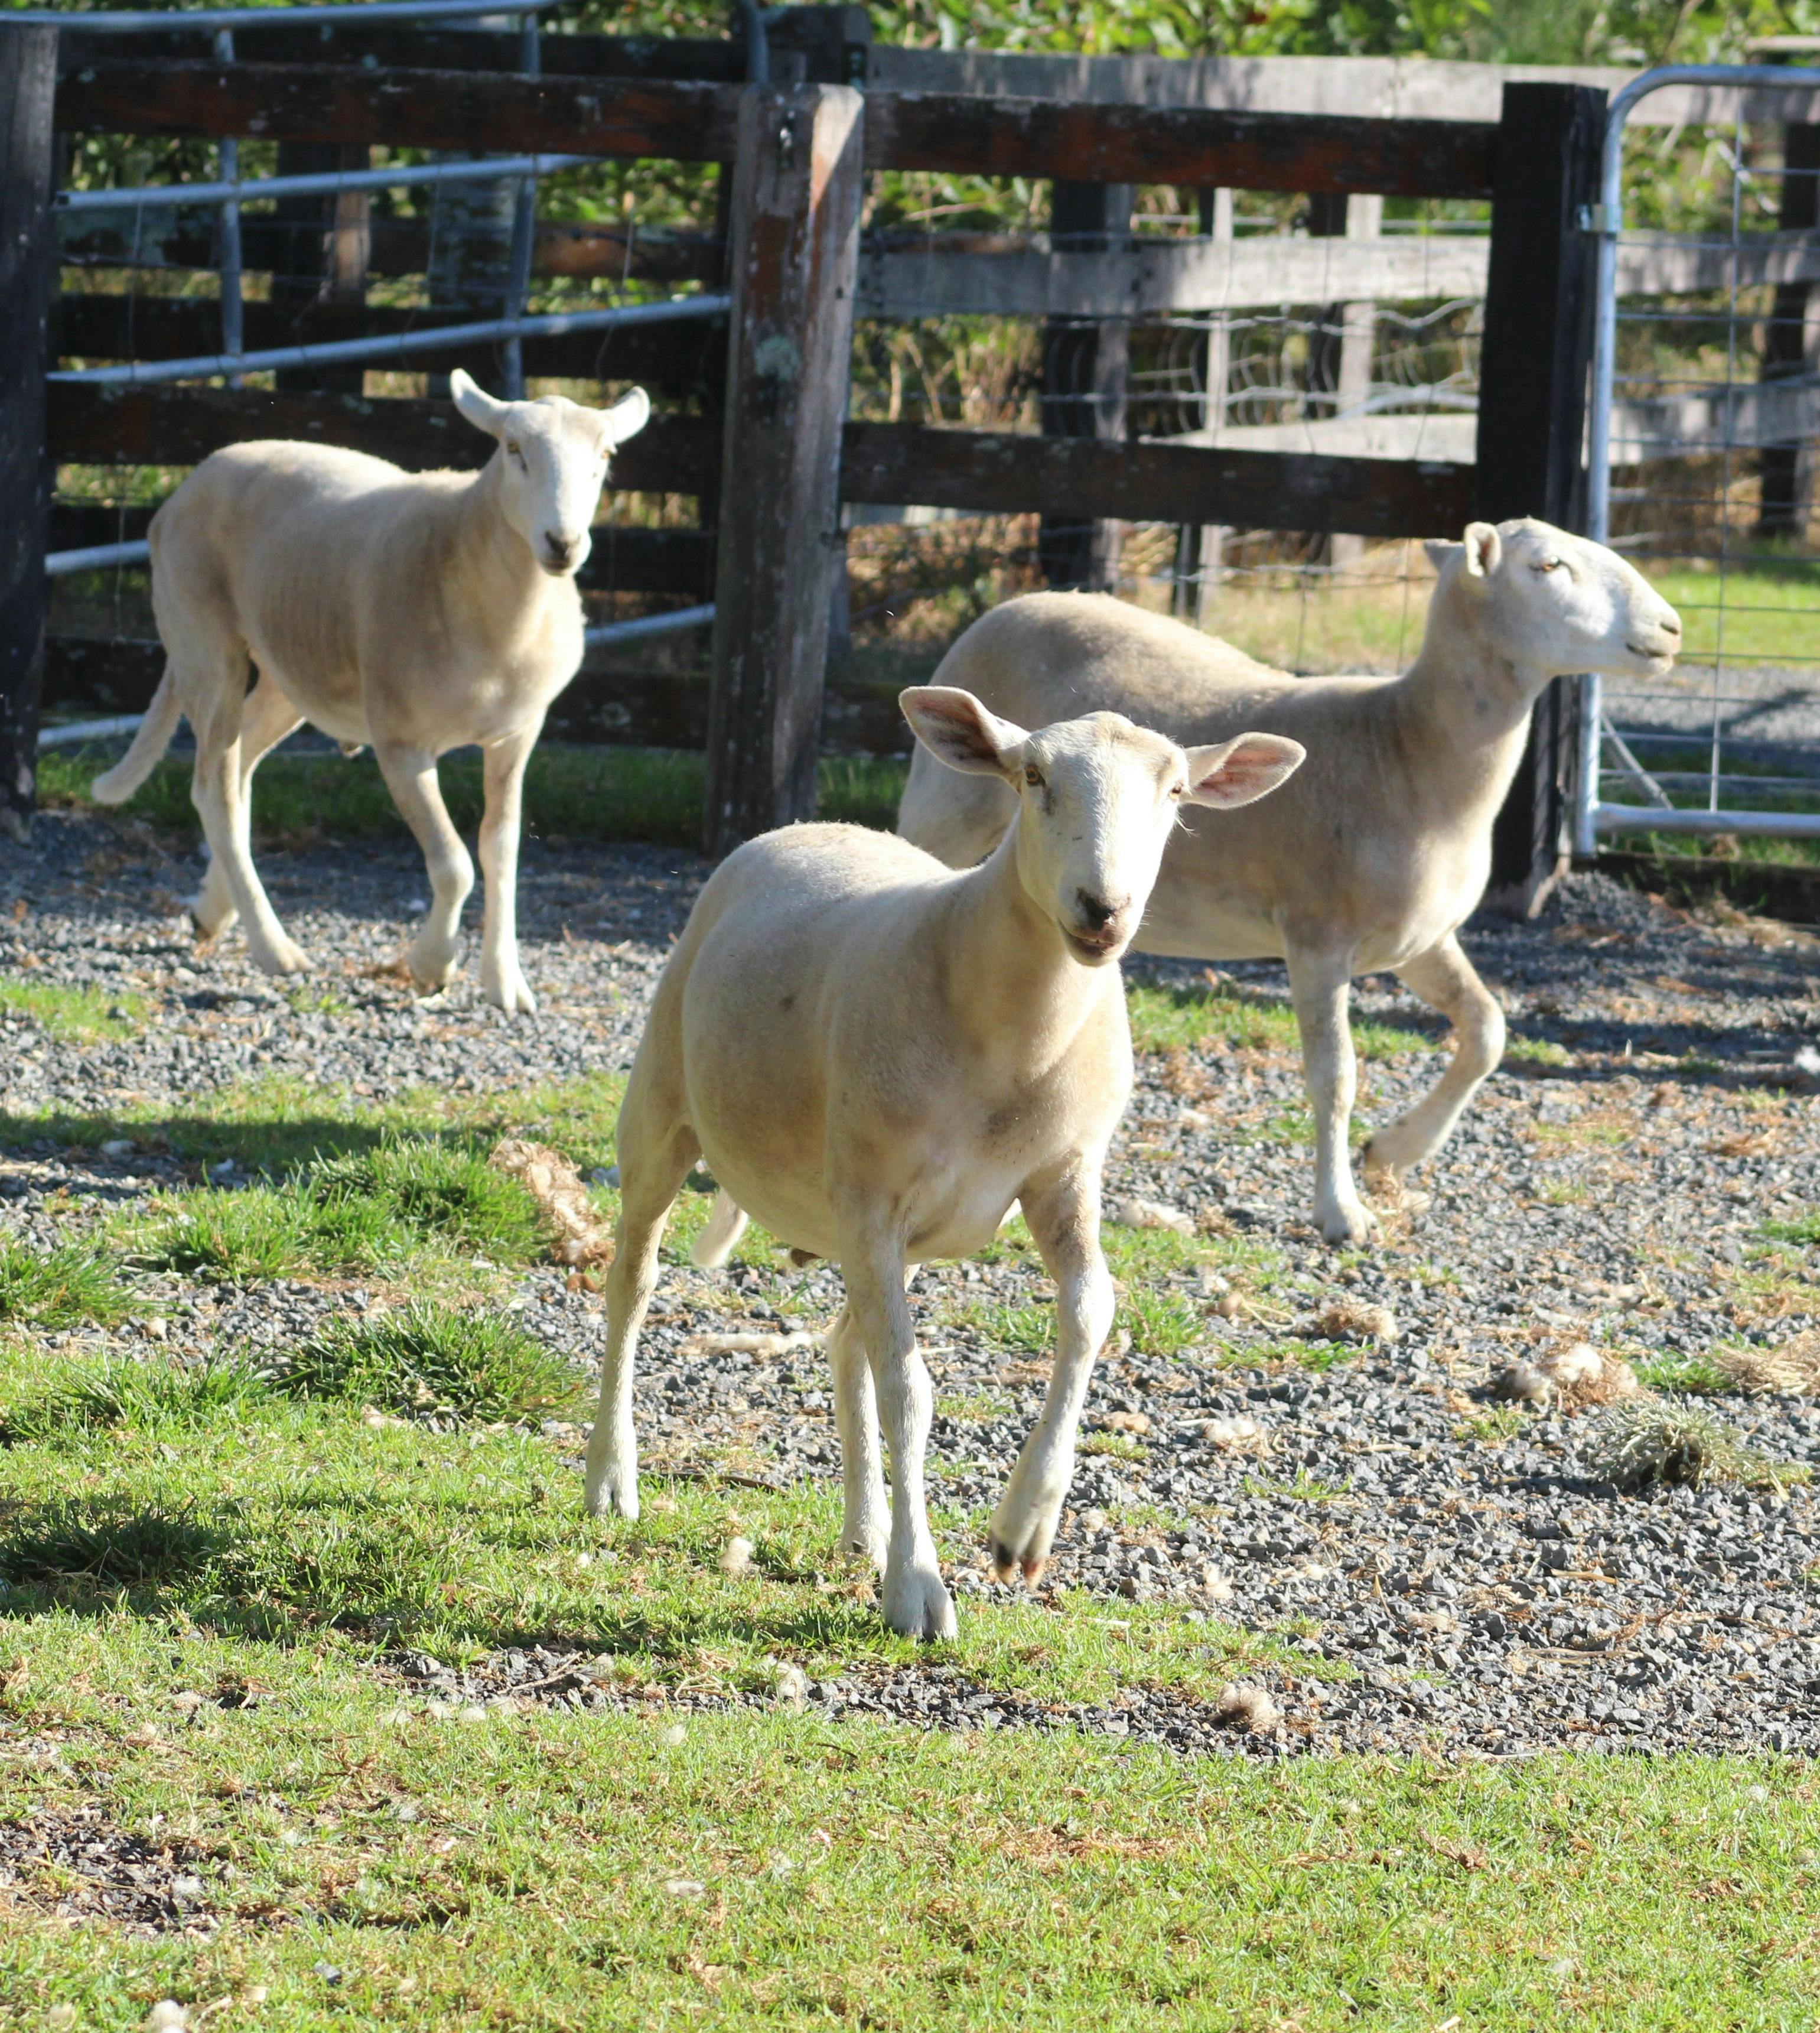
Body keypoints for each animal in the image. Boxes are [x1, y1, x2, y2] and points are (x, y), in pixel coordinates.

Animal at [90, 370, 650, 1014]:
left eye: (605, 457)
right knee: (216, 791)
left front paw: (505, 983)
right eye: (514, 450)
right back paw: (275, 949)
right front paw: (432, 965)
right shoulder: (400, 740)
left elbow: (501, 850)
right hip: (206, 643)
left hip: (291, 669)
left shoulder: (517, 734)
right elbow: (454, 864)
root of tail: (192, 482)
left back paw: (213, 911)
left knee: (239, 763)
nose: (563, 543)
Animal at [582, 687, 1304, 1638]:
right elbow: (912, 1393)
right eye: (1032, 776)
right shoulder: (872, 1191)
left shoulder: (1063, 1174)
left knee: (845, 1338)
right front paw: (918, 1587)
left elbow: (1091, 1313)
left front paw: (1025, 1525)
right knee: (633, 1284)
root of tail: (809, 824)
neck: (1011, 1043)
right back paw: (609, 1478)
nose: (1103, 907)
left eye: (1177, 790)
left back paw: (863, 1529)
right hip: (667, 1111)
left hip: (892, 1226)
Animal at [897, 517, 1683, 1245]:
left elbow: (1488, 1029)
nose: (1672, 629)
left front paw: (1396, 1150)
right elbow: (1335, 1078)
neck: (1412, 754)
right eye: (1548, 565)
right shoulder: (1316, 937)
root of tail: (1019, 600)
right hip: (943, 811)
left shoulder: (1419, 941)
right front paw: (1341, 1211)